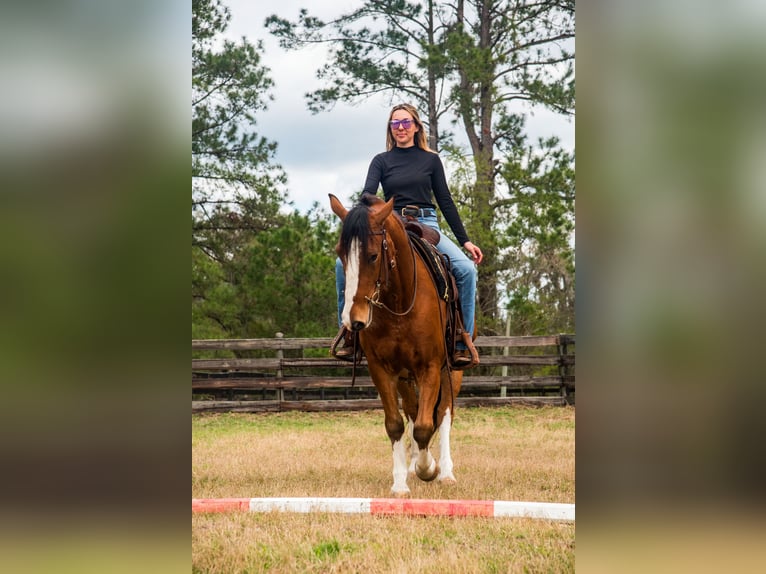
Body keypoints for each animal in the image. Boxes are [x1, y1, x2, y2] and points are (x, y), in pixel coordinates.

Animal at [328, 194, 462, 500]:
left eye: (373, 255)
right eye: (341, 254)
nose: (354, 319)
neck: (400, 304)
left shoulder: (430, 367)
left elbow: (426, 426)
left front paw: (430, 469)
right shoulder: (382, 370)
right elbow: (396, 424)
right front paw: (401, 482)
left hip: (452, 370)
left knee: (444, 413)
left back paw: (445, 472)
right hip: (404, 377)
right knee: (413, 411)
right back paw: (413, 465)